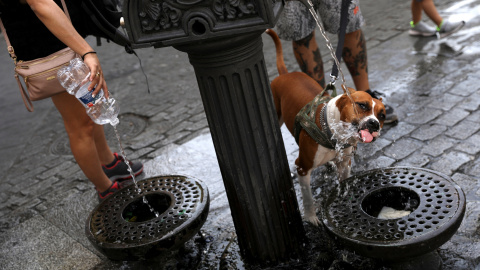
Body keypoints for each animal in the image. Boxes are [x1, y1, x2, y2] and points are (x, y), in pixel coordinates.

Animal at [266, 28, 386, 225]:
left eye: (382, 116)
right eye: (362, 105)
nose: (374, 124)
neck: (334, 132)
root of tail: (285, 73)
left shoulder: (345, 163)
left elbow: (344, 181)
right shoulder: (302, 167)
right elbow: (307, 198)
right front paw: (311, 217)